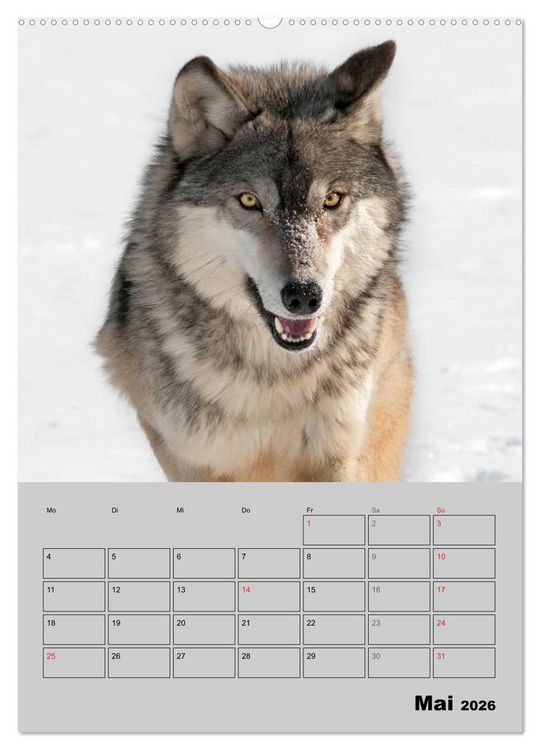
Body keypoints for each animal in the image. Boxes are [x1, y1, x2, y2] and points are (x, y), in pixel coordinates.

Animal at [96, 40, 413, 482]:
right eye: (249, 200)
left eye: (332, 199)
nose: (303, 295)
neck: (274, 378)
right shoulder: (195, 459)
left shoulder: (339, 453)